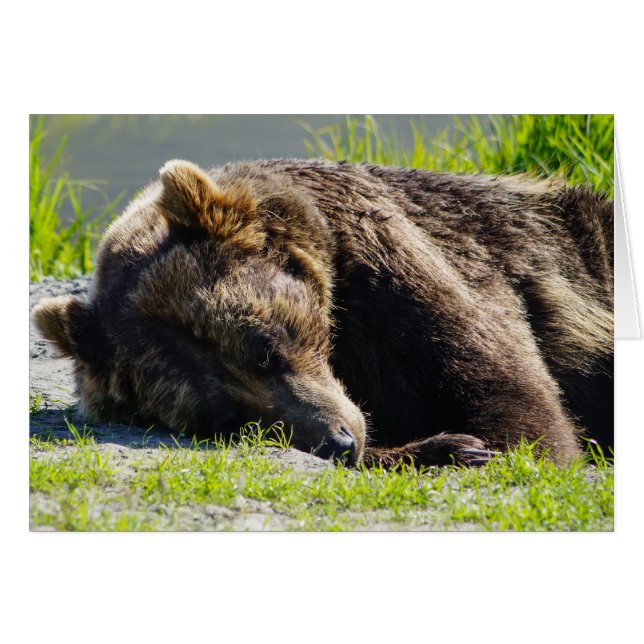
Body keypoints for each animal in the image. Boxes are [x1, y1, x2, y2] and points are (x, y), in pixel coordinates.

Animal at [33, 158, 614, 467]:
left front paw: (466, 445)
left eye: (265, 347)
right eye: (226, 418)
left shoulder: (402, 264)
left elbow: (523, 416)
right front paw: (445, 447)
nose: (339, 442)